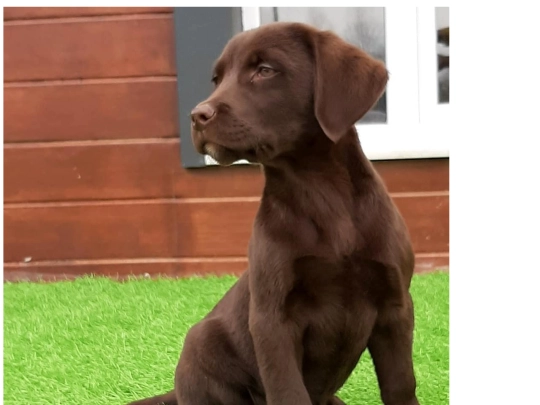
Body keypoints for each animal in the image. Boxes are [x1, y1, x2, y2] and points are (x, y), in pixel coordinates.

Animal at [126, 22, 419, 405]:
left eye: (264, 70)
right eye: (217, 78)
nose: (197, 115)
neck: (320, 193)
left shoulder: (395, 307)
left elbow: (400, 385)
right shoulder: (272, 320)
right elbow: (288, 391)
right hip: (201, 346)